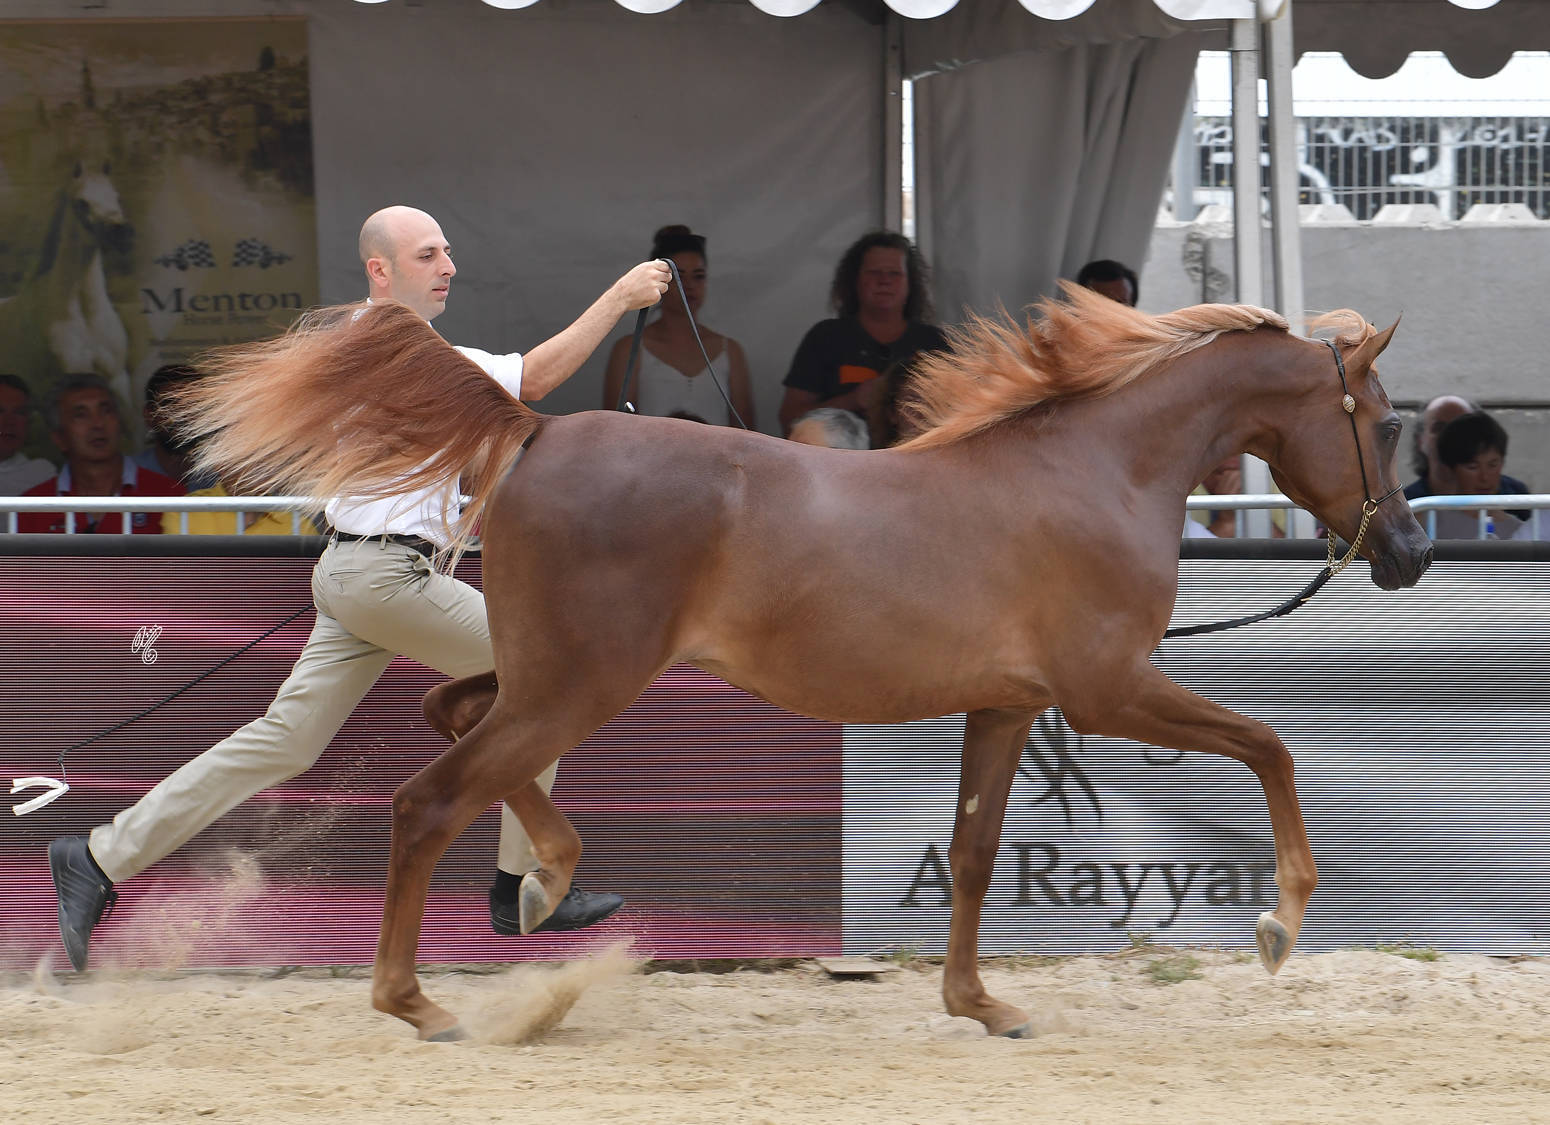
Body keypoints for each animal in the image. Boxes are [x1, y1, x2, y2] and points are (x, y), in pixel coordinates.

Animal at [169, 286, 1432, 1042]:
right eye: (1377, 417)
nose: (1410, 557)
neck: (1095, 471)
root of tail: (535, 428)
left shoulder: (1008, 707)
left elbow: (973, 855)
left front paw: (979, 1003)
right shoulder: (1107, 691)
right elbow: (1267, 747)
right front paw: (1279, 923)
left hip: (541, 679)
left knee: (446, 715)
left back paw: (550, 882)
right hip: (582, 684)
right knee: (427, 800)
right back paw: (420, 997)